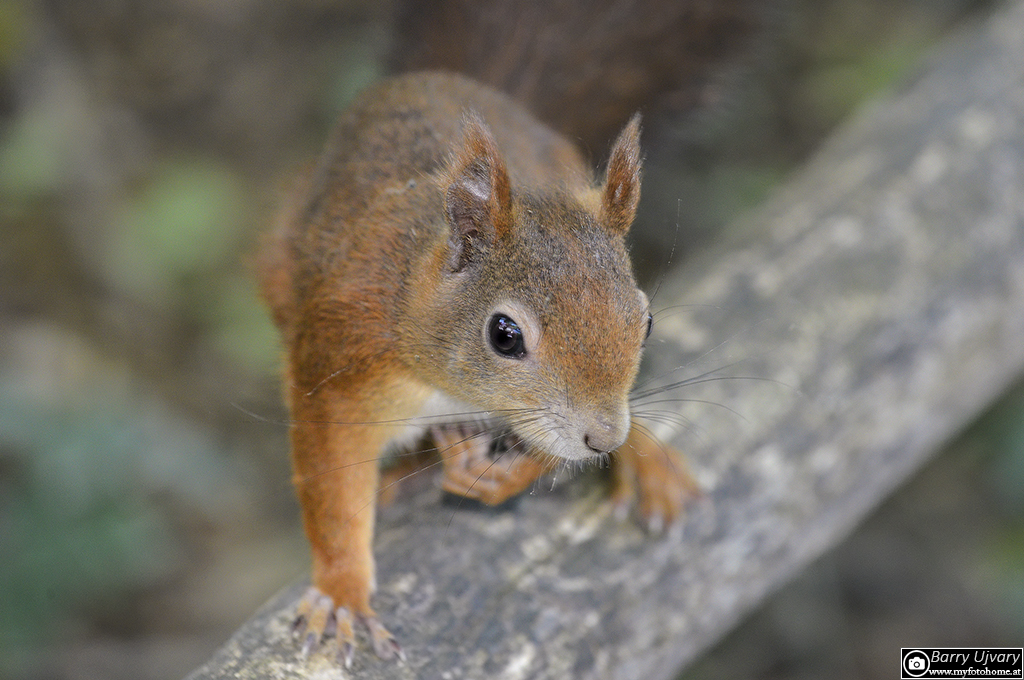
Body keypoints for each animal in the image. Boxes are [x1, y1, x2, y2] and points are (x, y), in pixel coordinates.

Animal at [253, 0, 774, 663]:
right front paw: (343, 590)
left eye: (647, 320)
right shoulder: (345, 358)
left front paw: (509, 475)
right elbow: (332, 485)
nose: (604, 439)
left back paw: (646, 460)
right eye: (504, 335)